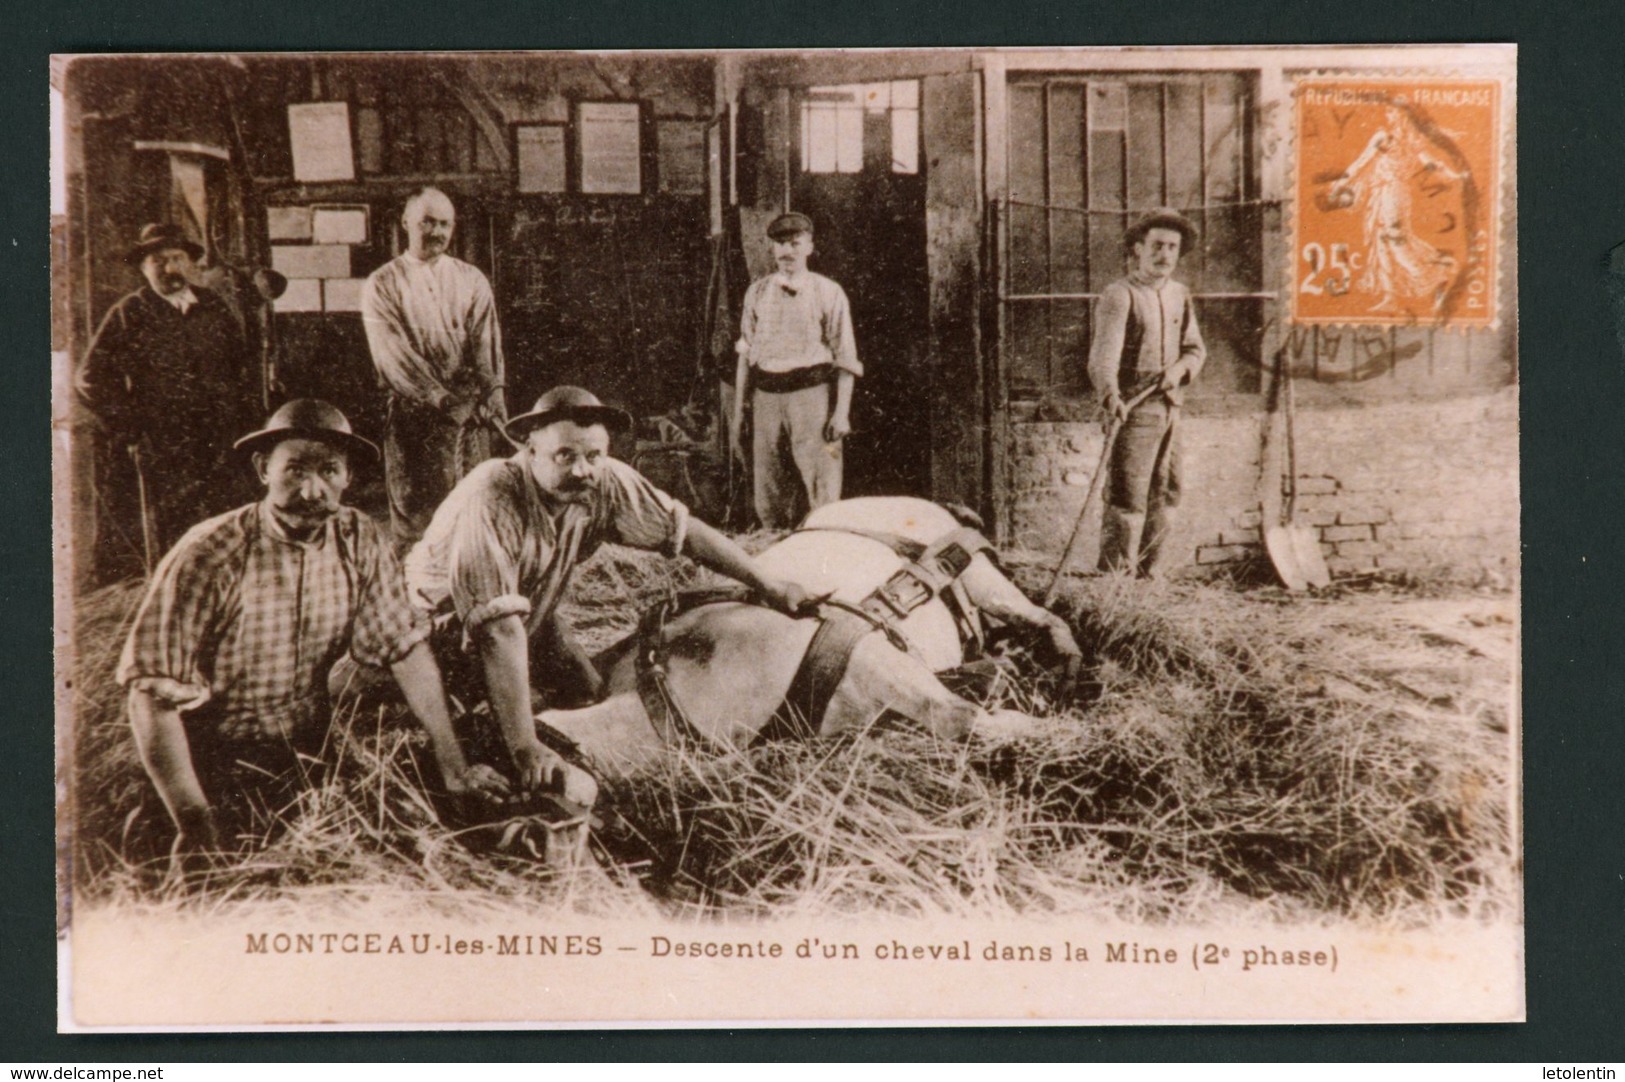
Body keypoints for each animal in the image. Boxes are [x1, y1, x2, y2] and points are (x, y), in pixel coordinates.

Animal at [539, 497, 1085, 799]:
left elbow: (959, 716)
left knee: (1041, 614)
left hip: (977, 572)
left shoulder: (865, 652)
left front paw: (1055, 728)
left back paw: (1066, 664)